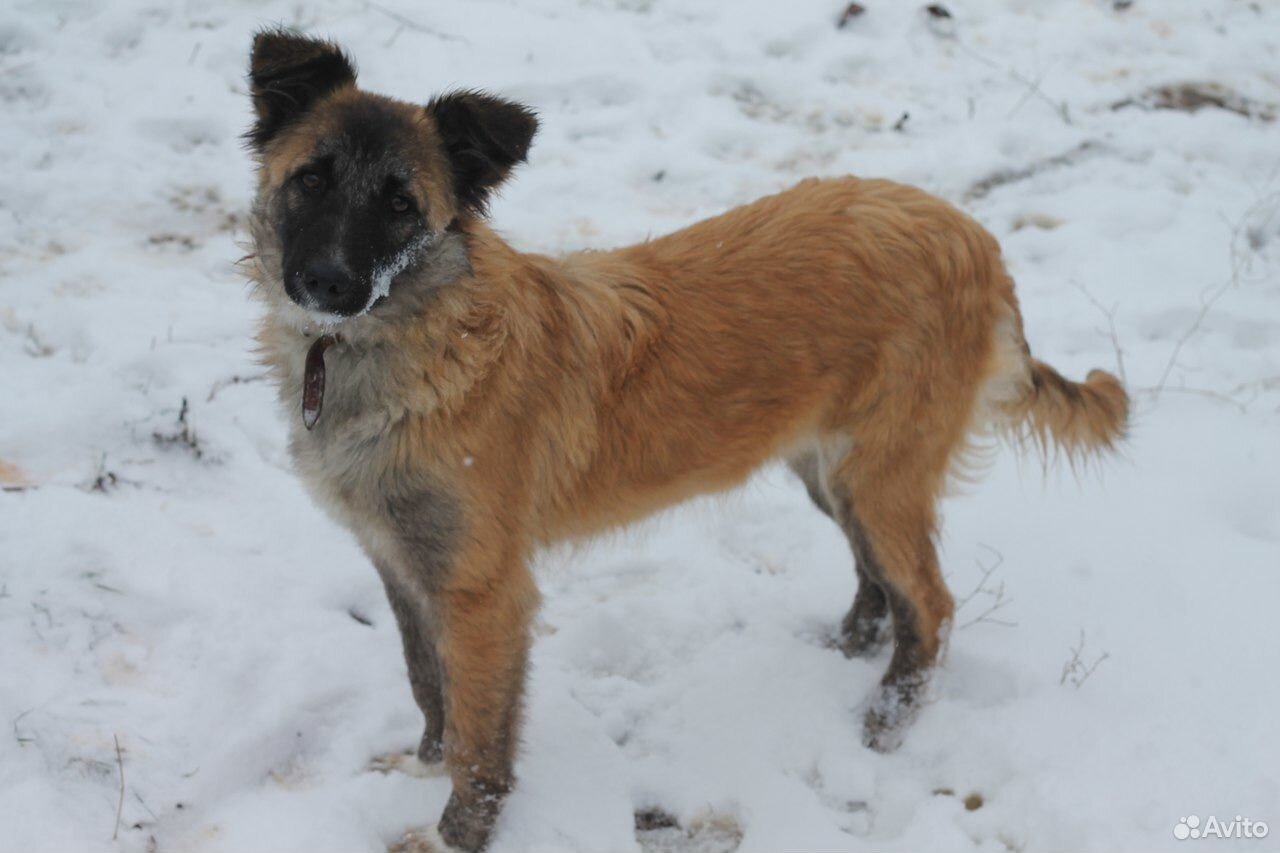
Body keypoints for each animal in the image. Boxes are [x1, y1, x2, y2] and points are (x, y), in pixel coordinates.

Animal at [241, 28, 1131, 850]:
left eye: (401, 205)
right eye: (312, 178)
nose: (327, 283)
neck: (406, 338)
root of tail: (971, 235)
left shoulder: (482, 588)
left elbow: (479, 734)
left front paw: (462, 826)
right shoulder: (401, 560)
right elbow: (429, 685)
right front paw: (422, 762)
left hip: (881, 473)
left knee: (933, 604)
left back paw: (887, 716)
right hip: (829, 469)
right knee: (881, 578)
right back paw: (850, 641)